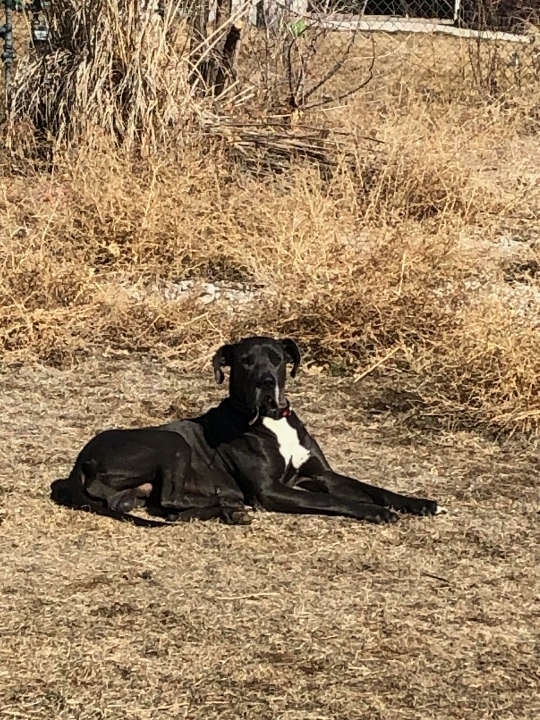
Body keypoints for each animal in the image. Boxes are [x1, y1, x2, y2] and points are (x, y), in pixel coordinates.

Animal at [52, 334, 438, 524]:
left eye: (278, 359)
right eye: (245, 362)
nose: (266, 382)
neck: (272, 419)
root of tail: (82, 459)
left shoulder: (321, 473)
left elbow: (372, 488)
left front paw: (418, 502)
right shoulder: (270, 491)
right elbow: (331, 500)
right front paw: (376, 513)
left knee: (162, 506)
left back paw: (226, 511)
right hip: (171, 440)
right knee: (170, 498)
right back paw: (227, 504)